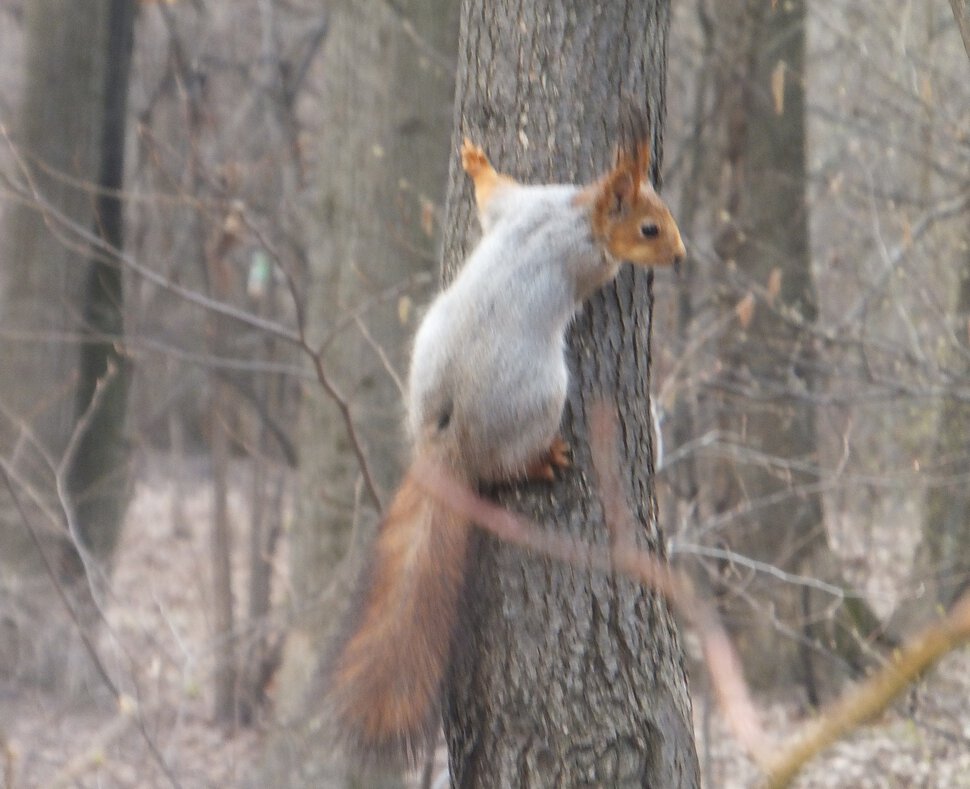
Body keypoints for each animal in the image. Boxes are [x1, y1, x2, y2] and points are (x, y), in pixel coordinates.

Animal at [324, 111, 680, 764]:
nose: (680, 256)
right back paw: (542, 461)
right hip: (543, 396)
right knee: (504, 468)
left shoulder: (522, 203)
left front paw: (477, 161)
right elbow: (601, 271)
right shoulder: (586, 259)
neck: (576, 212)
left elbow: (494, 194)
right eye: (650, 228)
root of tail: (449, 442)